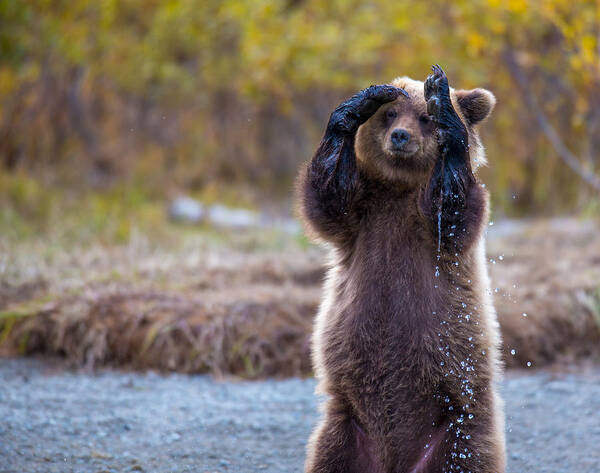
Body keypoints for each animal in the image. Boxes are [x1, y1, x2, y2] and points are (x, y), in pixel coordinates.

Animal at [298, 67, 504, 472]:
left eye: (424, 117)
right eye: (390, 114)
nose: (400, 136)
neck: (398, 187)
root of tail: (393, 461)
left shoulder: (434, 232)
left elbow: (451, 208)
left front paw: (446, 109)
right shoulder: (363, 216)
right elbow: (328, 196)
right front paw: (358, 105)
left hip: (457, 431)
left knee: (465, 456)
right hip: (344, 427)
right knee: (329, 455)